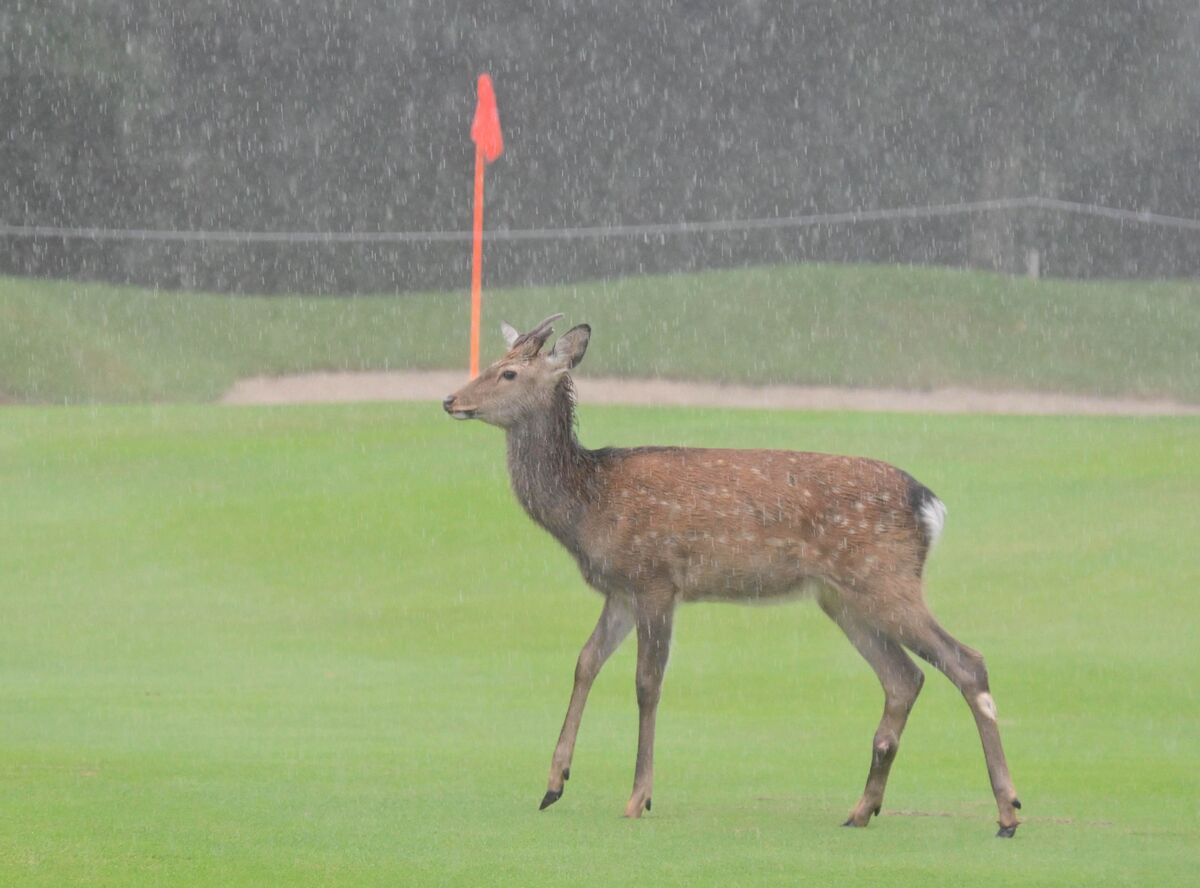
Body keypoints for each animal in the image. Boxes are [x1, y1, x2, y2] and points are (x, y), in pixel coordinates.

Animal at [441, 316, 1022, 835]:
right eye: (491, 362)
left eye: (509, 373)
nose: (450, 399)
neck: (589, 507)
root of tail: (929, 505)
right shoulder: (621, 590)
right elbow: (585, 662)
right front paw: (554, 783)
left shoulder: (657, 578)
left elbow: (646, 683)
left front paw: (638, 798)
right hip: (842, 597)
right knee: (904, 677)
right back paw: (862, 809)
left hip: (886, 579)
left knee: (966, 661)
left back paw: (1008, 811)